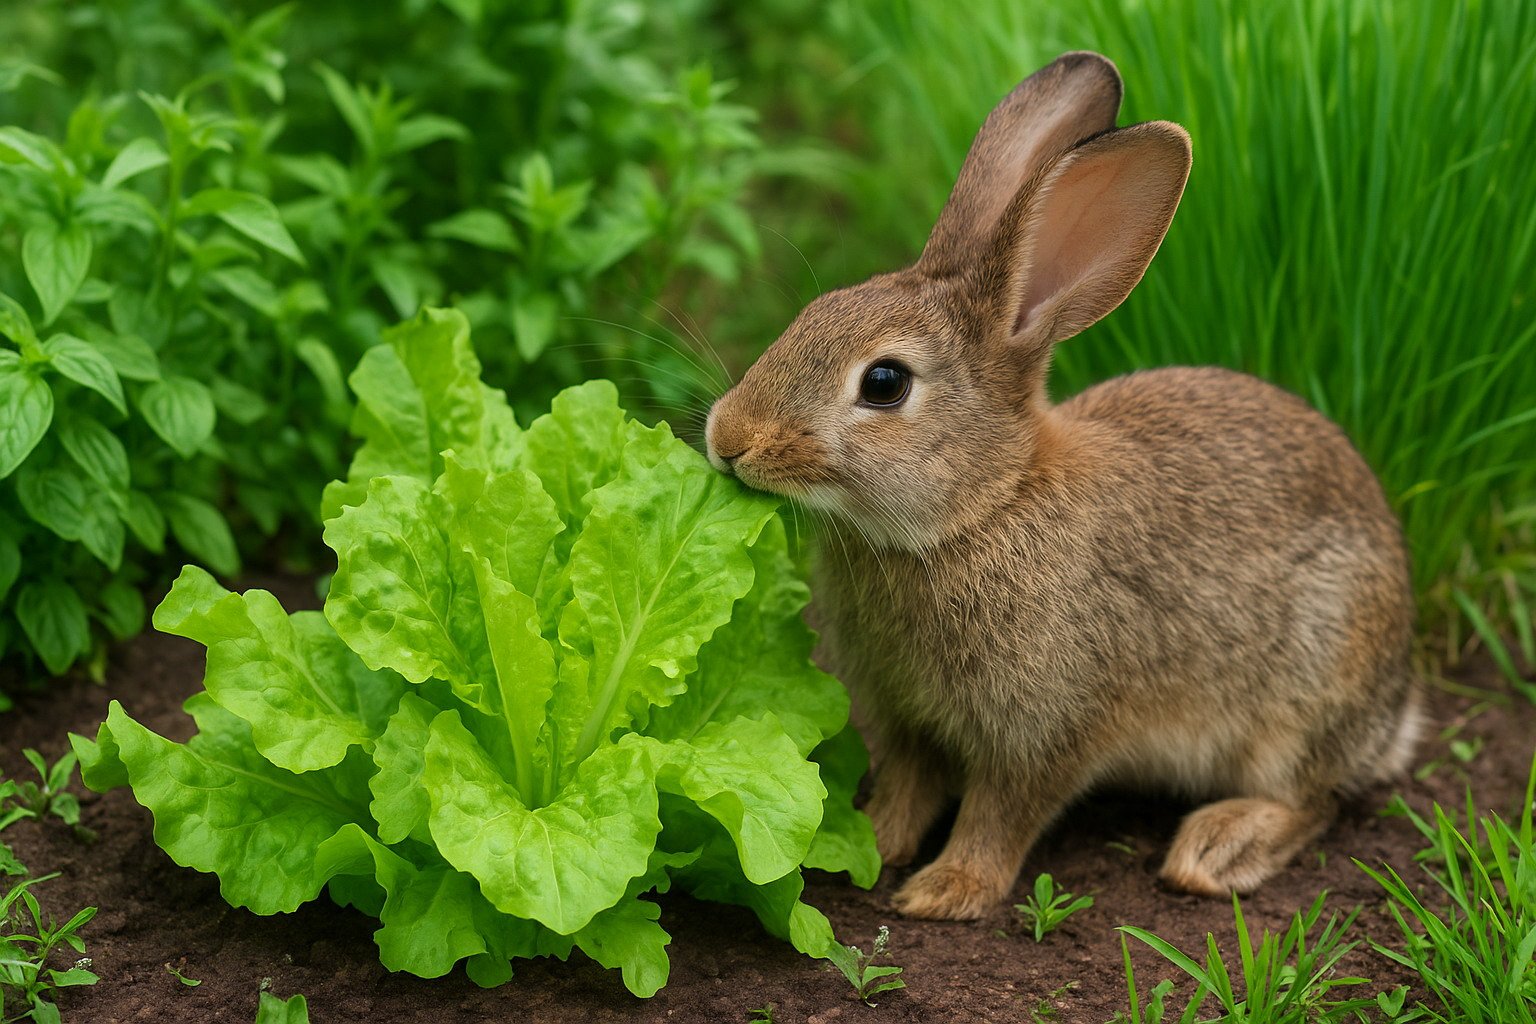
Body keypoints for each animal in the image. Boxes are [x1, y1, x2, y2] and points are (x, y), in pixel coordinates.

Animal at [703, 51, 1421, 920]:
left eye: (883, 383)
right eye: (813, 310)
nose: (727, 440)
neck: (984, 506)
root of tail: (1394, 704)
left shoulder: (1049, 729)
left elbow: (1002, 811)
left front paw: (946, 891)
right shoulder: (909, 723)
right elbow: (909, 786)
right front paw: (869, 845)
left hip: (1304, 695)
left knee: (1312, 800)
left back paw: (1215, 850)